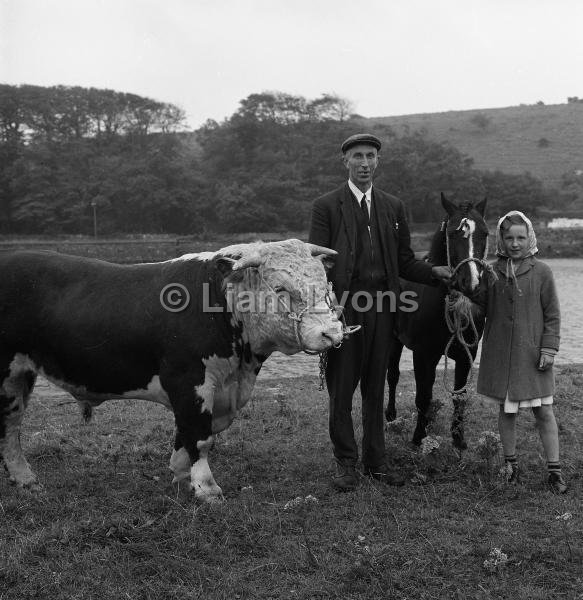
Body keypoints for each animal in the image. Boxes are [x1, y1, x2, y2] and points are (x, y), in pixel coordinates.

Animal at [388, 193, 492, 450]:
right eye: (453, 234)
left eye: (485, 233)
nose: (471, 284)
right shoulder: (423, 354)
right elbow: (423, 396)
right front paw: (418, 438)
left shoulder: (467, 354)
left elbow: (459, 396)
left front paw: (458, 439)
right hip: (394, 341)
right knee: (393, 375)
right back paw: (390, 416)